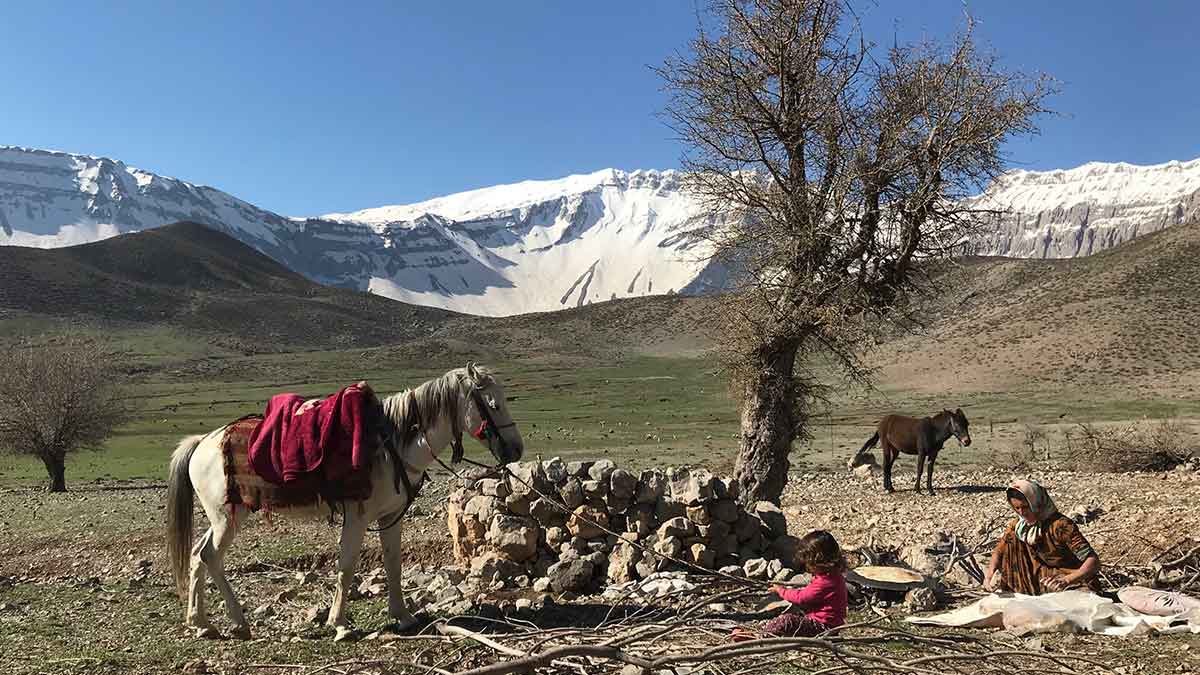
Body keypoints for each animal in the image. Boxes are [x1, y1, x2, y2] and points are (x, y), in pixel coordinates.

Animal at [166, 365, 523, 638]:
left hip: (223, 517)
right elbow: (347, 566)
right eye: (493, 404)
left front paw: (403, 617)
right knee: (210, 556)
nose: (516, 450)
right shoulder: (357, 517)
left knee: (197, 554)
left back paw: (201, 623)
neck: (392, 445)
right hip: (228, 517)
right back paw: (238, 622)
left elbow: (393, 564)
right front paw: (339, 624)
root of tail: (202, 443)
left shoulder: (390, 516)